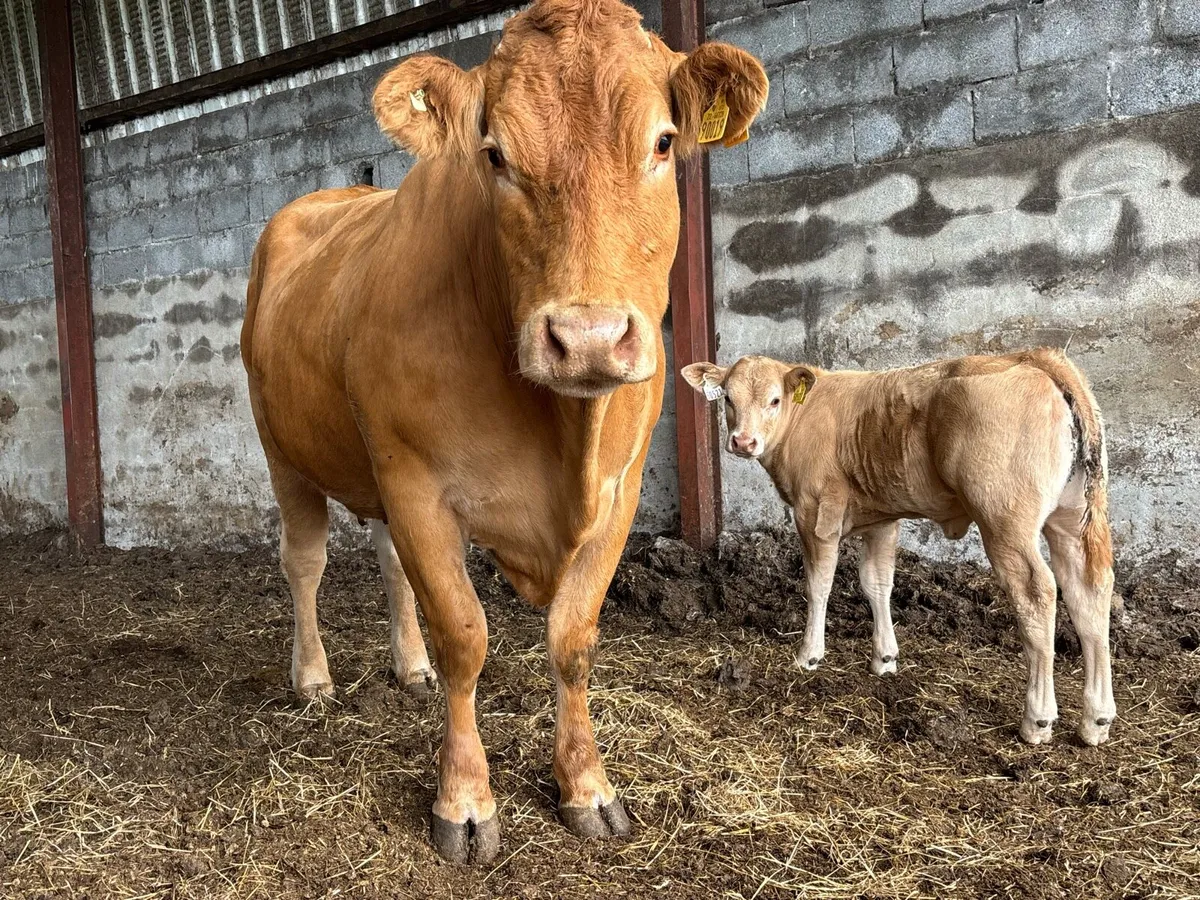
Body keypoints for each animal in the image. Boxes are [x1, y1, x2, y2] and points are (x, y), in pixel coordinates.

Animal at [241, 0, 768, 865]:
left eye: (663, 142)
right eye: (494, 154)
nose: (587, 338)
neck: (561, 437)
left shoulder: (618, 492)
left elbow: (573, 638)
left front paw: (587, 786)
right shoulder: (416, 482)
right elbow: (465, 636)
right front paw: (463, 800)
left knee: (387, 564)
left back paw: (409, 668)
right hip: (283, 448)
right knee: (305, 562)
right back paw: (312, 678)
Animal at [681, 350, 1117, 748]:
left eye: (774, 400)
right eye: (728, 398)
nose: (743, 442)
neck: (803, 417)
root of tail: (1035, 358)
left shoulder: (816, 513)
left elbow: (818, 585)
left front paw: (809, 654)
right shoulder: (881, 518)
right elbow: (877, 584)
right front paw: (885, 658)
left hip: (1004, 520)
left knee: (1037, 593)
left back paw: (1037, 719)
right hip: (1071, 517)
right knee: (1089, 591)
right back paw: (1096, 719)